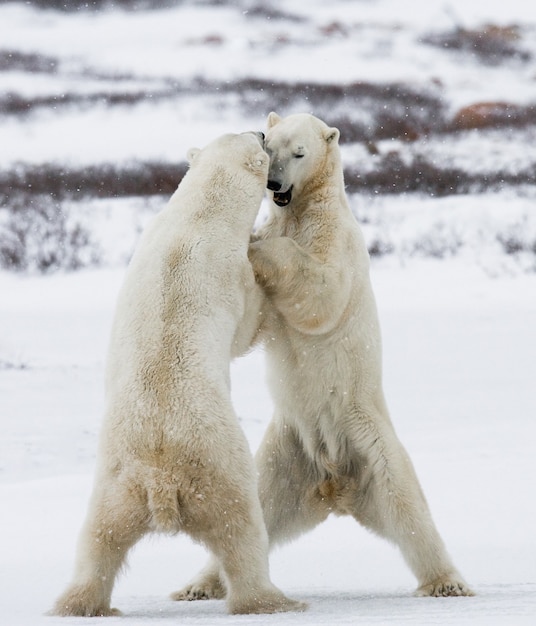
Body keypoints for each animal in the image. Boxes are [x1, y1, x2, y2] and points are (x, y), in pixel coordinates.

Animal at [54, 130, 306, 616]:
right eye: (259, 140)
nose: (262, 131)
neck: (197, 214)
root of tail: (161, 481)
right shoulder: (231, 272)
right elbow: (246, 327)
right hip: (218, 468)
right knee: (243, 530)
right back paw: (274, 599)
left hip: (117, 483)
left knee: (99, 540)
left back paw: (79, 603)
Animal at [173, 113, 474, 600]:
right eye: (270, 146)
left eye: (299, 152)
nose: (274, 183)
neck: (301, 208)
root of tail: (335, 482)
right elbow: (254, 324)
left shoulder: (335, 238)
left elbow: (322, 292)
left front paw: (256, 247)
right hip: (283, 454)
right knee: (259, 508)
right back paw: (198, 585)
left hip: (369, 438)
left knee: (408, 508)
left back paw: (447, 582)